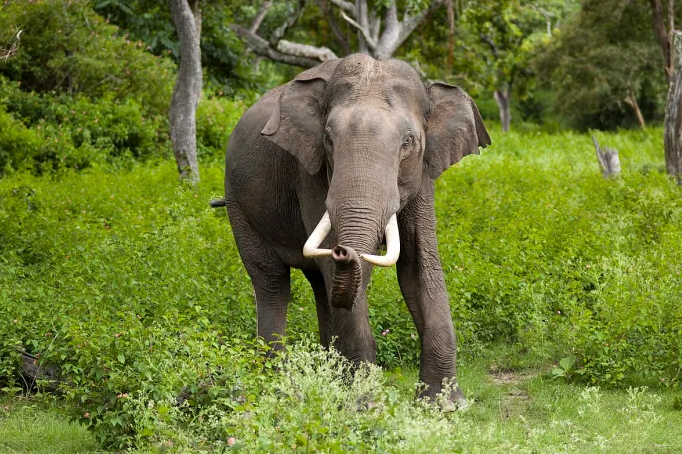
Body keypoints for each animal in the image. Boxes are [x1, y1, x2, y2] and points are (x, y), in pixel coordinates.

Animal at [212, 54, 488, 408]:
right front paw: (365, 405)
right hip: (239, 205)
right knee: (272, 281)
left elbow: (418, 266)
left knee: (320, 285)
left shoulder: (424, 173)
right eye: (329, 140)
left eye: (408, 142)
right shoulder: (310, 172)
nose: (344, 251)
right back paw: (280, 387)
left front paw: (446, 405)